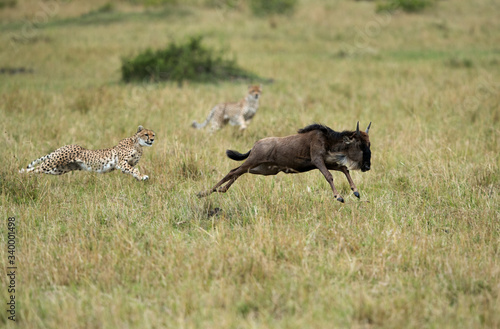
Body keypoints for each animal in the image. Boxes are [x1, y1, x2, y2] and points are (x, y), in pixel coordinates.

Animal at [20, 125, 154, 181]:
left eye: (153, 134)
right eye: (146, 134)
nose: (152, 139)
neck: (138, 144)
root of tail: (63, 146)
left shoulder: (126, 165)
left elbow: (132, 170)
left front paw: (139, 177)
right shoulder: (121, 162)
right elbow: (134, 169)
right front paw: (142, 176)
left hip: (58, 169)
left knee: (36, 170)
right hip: (53, 162)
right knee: (34, 168)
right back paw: (20, 174)